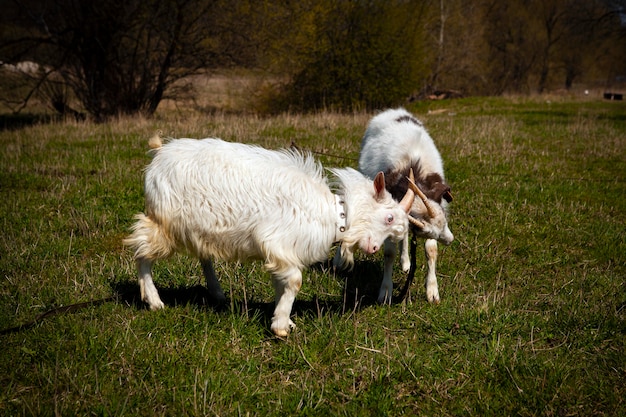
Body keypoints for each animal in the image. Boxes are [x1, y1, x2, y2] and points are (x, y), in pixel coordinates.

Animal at [122, 135, 416, 336]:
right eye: (389, 218)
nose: (374, 249)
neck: (333, 213)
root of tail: (160, 153)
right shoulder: (277, 241)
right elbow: (295, 280)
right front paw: (281, 327)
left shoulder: (282, 252)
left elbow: (281, 283)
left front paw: (283, 317)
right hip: (165, 223)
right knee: (141, 251)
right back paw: (154, 300)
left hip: (196, 229)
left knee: (203, 256)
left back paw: (217, 293)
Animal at [356, 108, 454, 302]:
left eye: (444, 223)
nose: (450, 239)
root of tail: (394, 111)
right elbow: (389, 253)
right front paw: (385, 291)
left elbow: (431, 250)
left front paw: (432, 291)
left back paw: (406, 262)